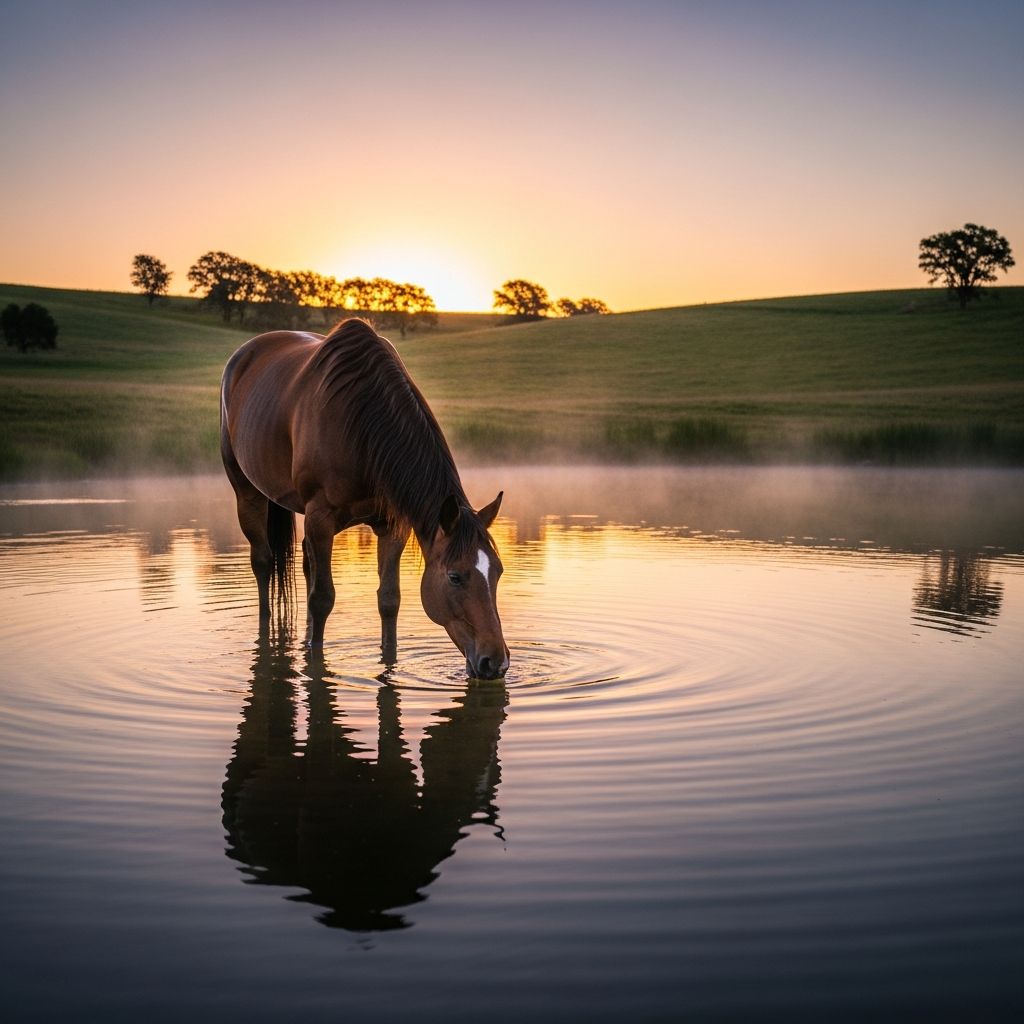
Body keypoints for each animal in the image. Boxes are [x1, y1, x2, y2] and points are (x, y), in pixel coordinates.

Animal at [219, 317, 509, 679]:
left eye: (498, 571)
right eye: (455, 577)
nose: (496, 663)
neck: (359, 426)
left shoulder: (393, 526)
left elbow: (389, 599)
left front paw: (389, 661)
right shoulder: (321, 518)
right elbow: (322, 598)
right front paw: (315, 663)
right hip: (248, 492)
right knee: (262, 562)